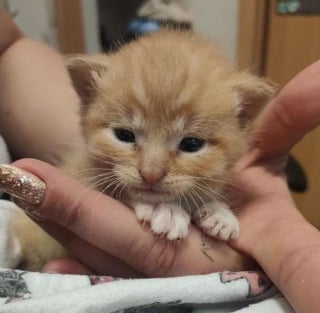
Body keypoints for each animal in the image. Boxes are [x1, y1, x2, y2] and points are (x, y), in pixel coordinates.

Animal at [1, 30, 274, 270]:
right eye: (124, 135)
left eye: (191, 144)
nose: (151, 174)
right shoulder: (80, 173)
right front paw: (164, 210)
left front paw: (219, 212)